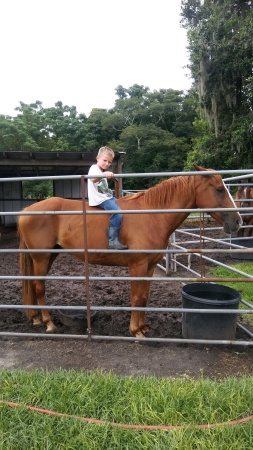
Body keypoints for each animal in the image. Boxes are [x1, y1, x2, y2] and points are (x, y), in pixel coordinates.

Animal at [17, 166, 241, 338]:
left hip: (49, 256)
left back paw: (36, 318)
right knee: (39, 288)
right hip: (41, 257)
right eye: (220, 189)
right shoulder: (137, 266)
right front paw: (135, 331)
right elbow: (136, 297)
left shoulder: (150, 267)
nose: (237, 221)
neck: (152, 215)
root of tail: (26, 211)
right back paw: (49, 323)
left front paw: (143, 327)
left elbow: (144, 297)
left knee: (34, 286)